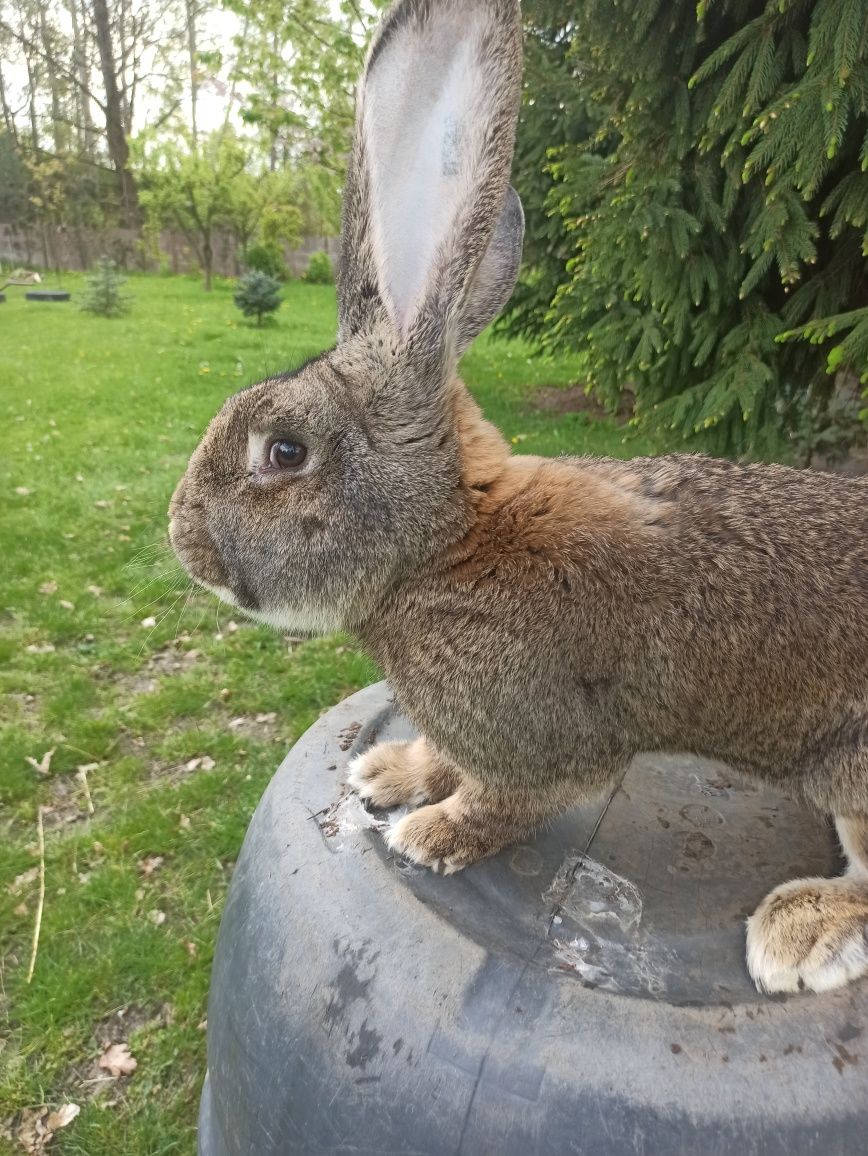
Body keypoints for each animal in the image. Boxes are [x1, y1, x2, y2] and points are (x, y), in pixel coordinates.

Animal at [164, 0, 868, 994]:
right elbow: (443, 756)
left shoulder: (541, 740)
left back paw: (801, 931)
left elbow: (510, 799)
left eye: (285, 451)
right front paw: (392, 772)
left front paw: (430, 834)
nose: (182, 539)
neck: (447, 543)